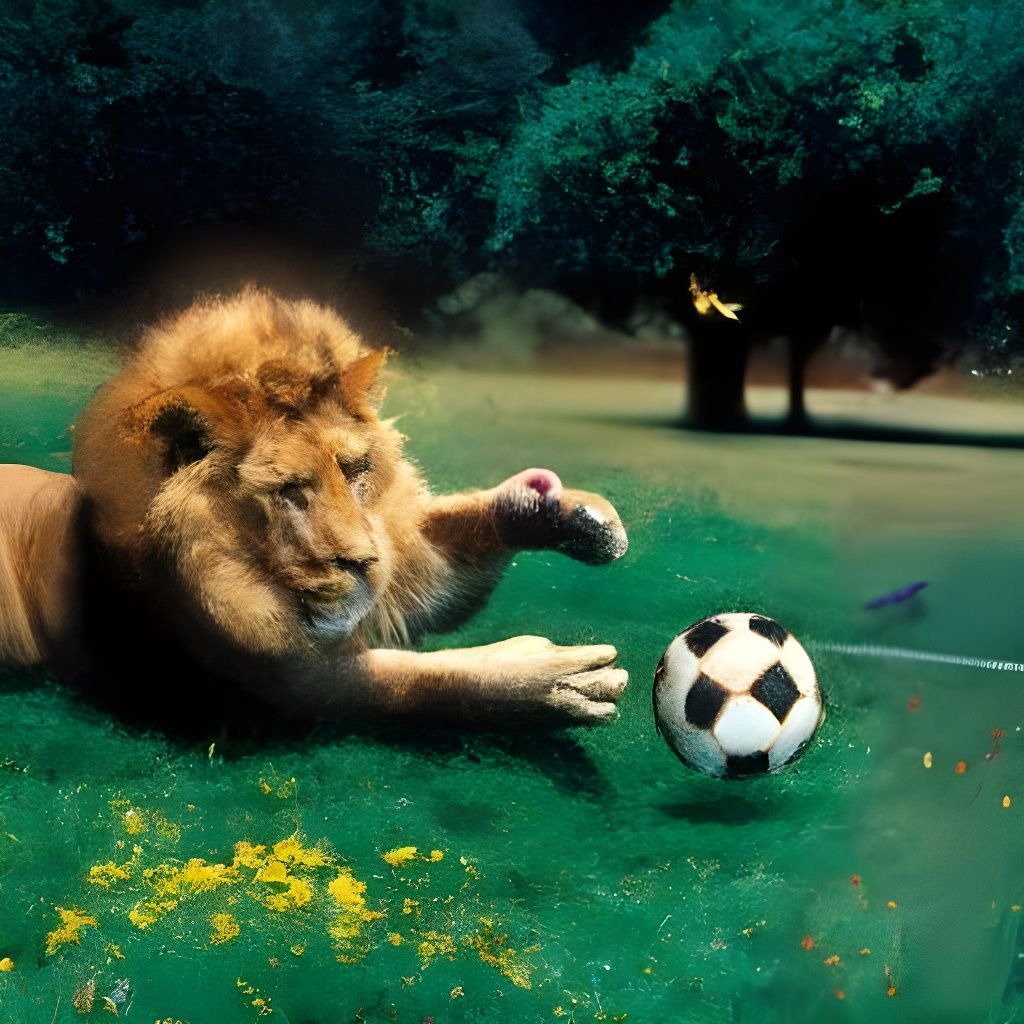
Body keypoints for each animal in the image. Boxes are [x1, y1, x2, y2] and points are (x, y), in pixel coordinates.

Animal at [0, 290, 628, 727]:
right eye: (288, 490)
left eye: (355, 471)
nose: (364, 563)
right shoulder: (257, 686)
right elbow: (422, 679)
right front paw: (555, 682)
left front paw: (566, 511)